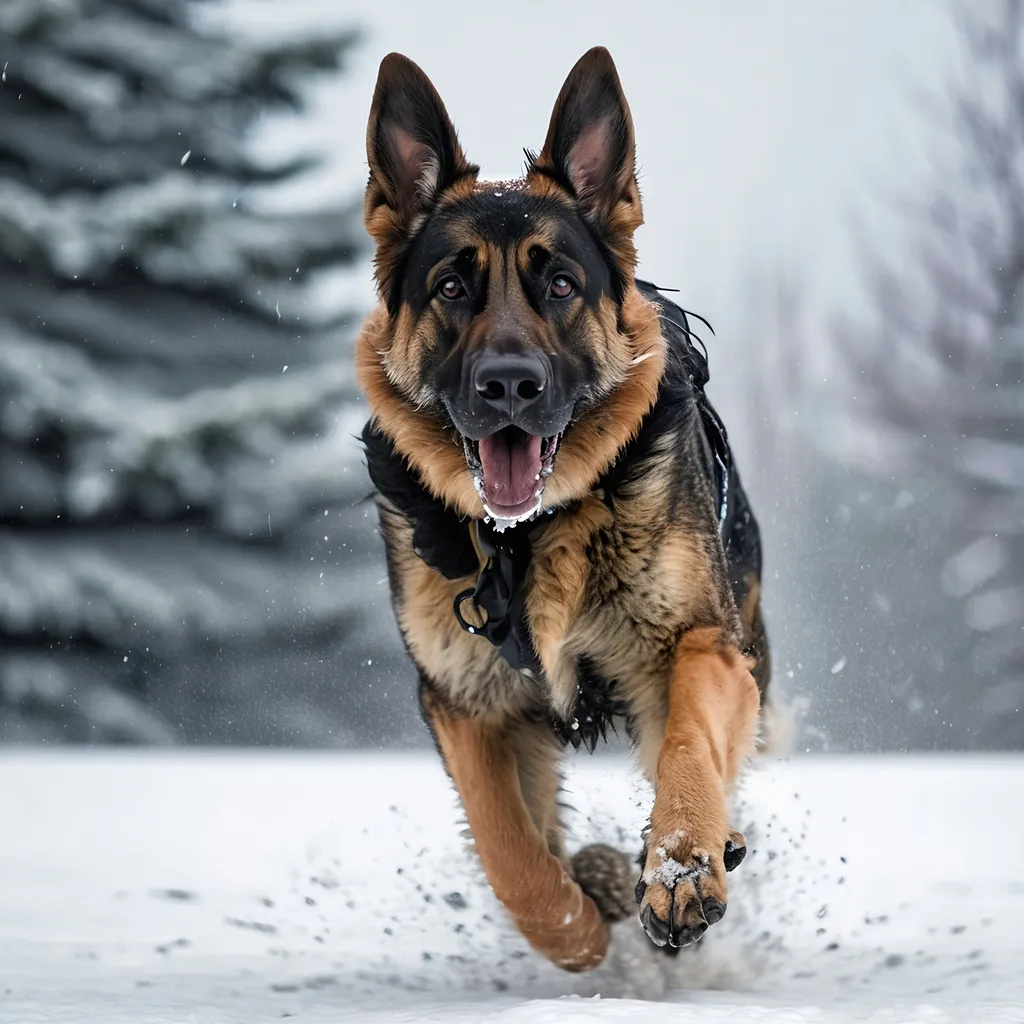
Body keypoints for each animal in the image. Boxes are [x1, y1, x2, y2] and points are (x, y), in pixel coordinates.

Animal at [360, 48, 770, 970]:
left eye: (558, 284)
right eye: (450, 287)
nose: (509, 385)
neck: (531, 535)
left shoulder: (701, 645)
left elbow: (688, 743)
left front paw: (682, 867)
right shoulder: (464, 703)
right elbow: (509, 847)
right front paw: (578, 928)